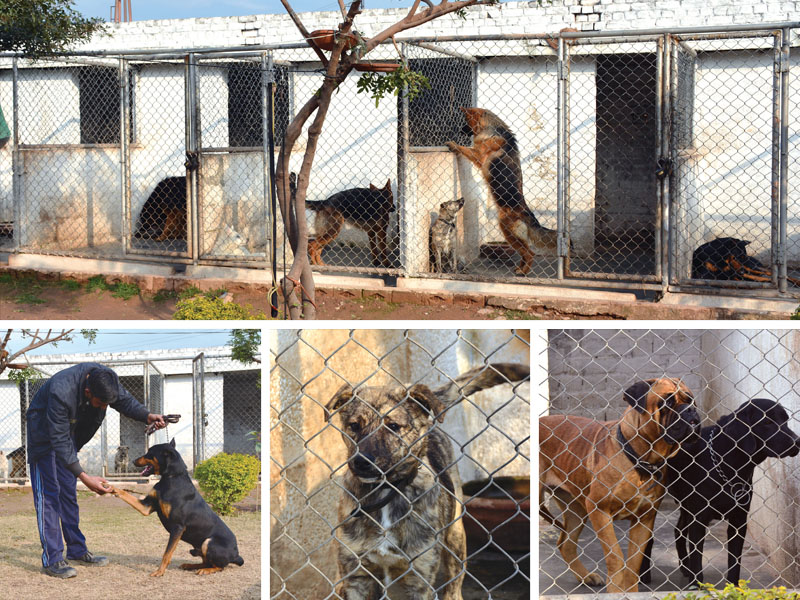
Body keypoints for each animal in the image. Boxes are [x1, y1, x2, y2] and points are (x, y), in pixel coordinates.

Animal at [108, 440, 244, 576]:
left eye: (150, 452)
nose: (132, 461)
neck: (171, 477)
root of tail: (236, 555)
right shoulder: (146, 507)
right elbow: (125, 493)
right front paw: (110, 487)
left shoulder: (177, 527)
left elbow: (167, 554)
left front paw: (159, 572)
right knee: (207, 562)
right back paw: (189, 565)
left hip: (209, 542)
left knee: (220, 566)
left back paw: (205, 570)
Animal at [324, 360, 532, 600]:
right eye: (354, 426)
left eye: (393, 426)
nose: (361, 462)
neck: (386, 490)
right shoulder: (355, 576)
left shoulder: (419, 579)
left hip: (455, 540)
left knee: (453, 586)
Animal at [446, 106, 560, 276]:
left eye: (466, 121)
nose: (460, 130)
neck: (492, 129)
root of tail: (528, 214)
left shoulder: (478, 155)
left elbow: (465, 149)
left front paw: (453, 145)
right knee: (526, 252)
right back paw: (520, 268)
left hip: (507, 230)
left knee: (530, 253)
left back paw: (523, 272)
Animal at [536, 378, 700, 592]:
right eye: (668, 402)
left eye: (691, 400)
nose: (691, 410)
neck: (641, 460)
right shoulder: (600, 511)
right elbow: (615, 556)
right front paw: (615, 590)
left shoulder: (644, 519)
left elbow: (634, 562)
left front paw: (631, 591)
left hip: (576, 510)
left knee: (567, 544)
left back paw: (586, 577)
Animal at [636, 396, 800, 588]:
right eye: (767, 422)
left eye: (786, 421)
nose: (797, 442)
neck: (729, 464)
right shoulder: (699, 520)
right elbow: (697, 558)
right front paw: (696, 585)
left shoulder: (738, 521)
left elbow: (735, 561)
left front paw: (734, 587)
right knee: (649, 538)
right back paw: (644, 574)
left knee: (679, 531)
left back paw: (684, 567)